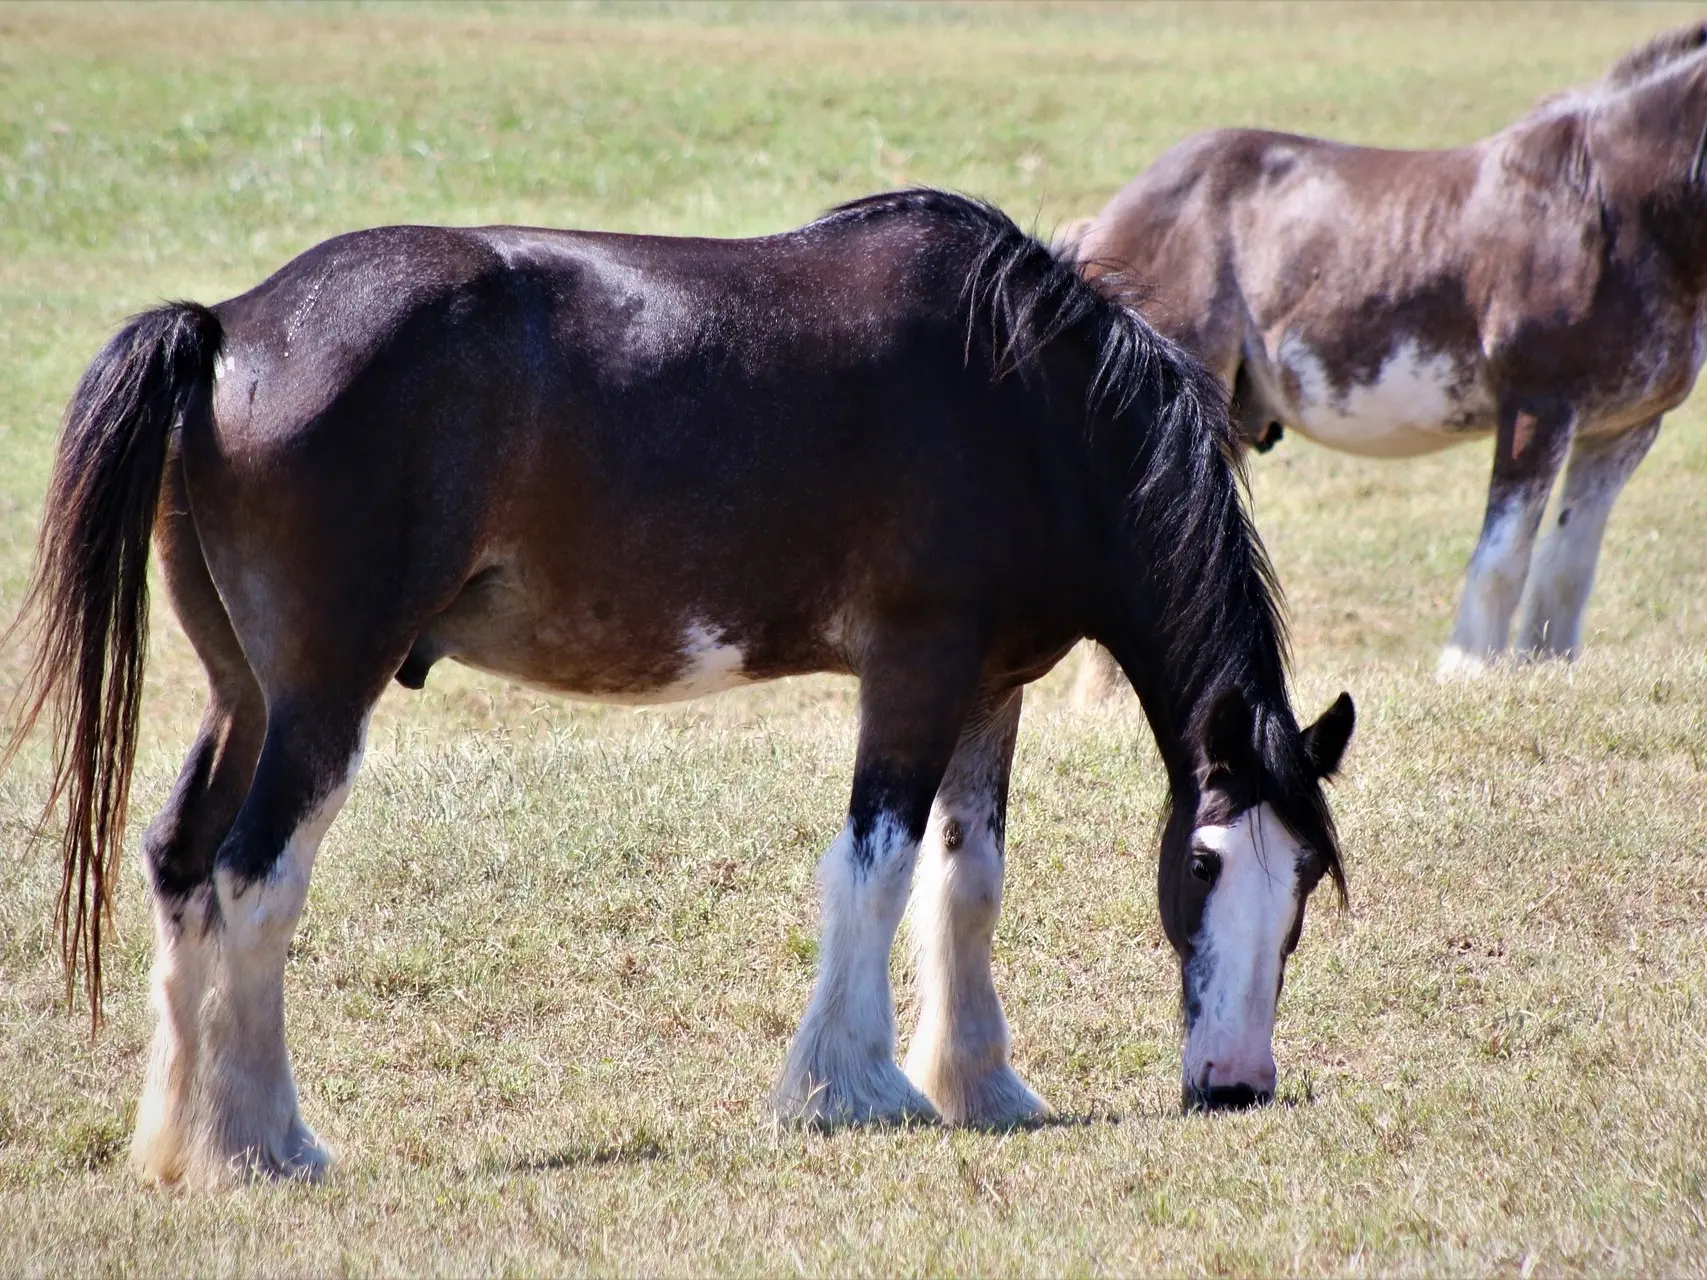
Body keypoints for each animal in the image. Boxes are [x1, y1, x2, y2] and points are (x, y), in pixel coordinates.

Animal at [3, 190, 1358, 1194]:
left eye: (1302, 879)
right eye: (1203, 862)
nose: (1235, 1086)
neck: (1026, 400)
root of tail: (228, 325)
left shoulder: (990, 688)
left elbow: (966, 879)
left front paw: (983, 1085)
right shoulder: (916, 669)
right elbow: (873, 864)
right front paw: (850, 1089)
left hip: (245, 696)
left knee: (183, 867)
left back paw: (182, 1143)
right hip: (322, 698)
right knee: (253, 879)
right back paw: (263, 1145)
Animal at [1065, 20, 1707, 703]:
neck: (1615, 205)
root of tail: (1105, 224)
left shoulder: (1622, 429)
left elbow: (1568, 565)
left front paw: (1546, 672)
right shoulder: (1539, 405)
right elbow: (1502, 558)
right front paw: (1468, 674)